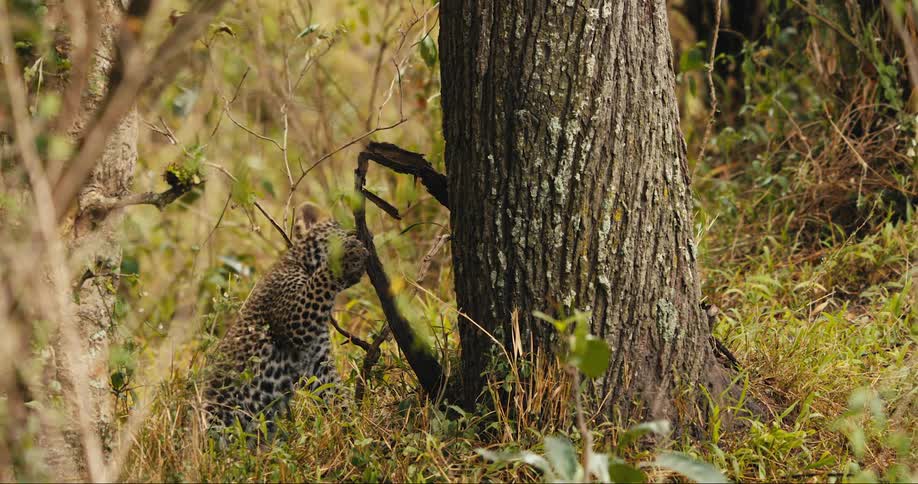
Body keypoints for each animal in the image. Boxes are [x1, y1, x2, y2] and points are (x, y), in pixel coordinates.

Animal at [201, 204, 368, 436]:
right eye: (342, 228)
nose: (360, 239)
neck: (302, 263)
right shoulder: (294, 320)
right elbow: (321, 281)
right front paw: (349, 257)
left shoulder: (317, 360)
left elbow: (334, 392)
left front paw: (351, 425)